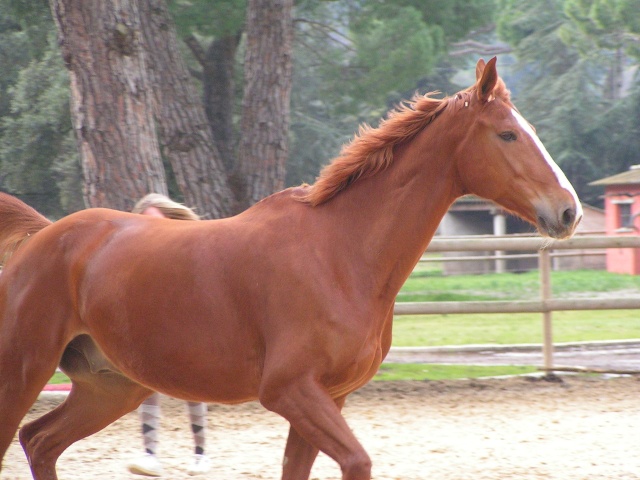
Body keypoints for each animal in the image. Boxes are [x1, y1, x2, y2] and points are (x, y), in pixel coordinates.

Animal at [0, 58, 580, 478]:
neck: (340, 253)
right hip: (24, 372)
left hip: (112, 386)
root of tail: (40, 237)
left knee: (40, 441)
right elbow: (357, 462)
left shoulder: (328, 398)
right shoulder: (290, 391)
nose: (568, 211)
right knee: (26, 438)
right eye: (507, 134)